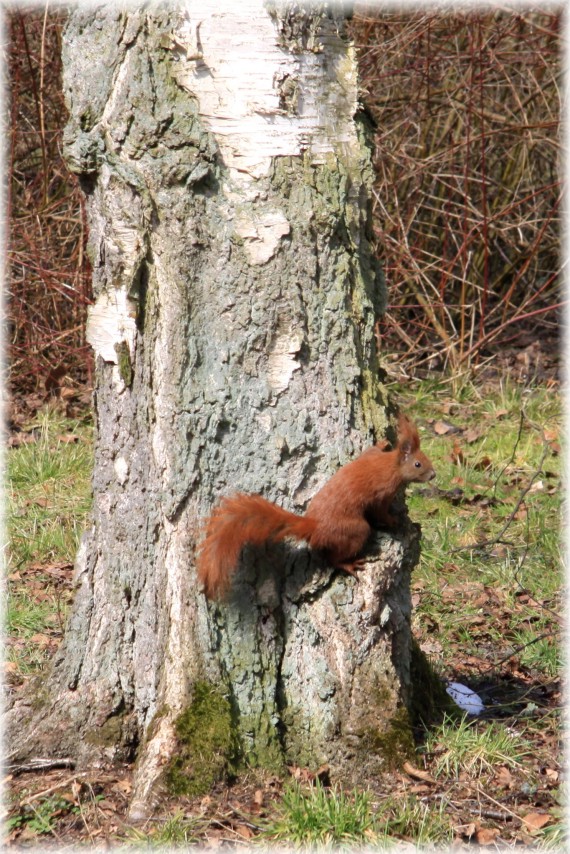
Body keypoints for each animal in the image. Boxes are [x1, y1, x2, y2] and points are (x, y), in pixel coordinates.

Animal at [197, 416, 432, 600]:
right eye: (418, 464)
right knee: (333, 557)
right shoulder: (382, 492)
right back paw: (349, 564)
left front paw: (382, 442)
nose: (433, 475)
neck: (391, 465)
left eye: (425, 458)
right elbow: (380, 512)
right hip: (355, 530)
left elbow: (368, 452)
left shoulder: (371, 457)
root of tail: (314, 527)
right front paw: (394, 521)